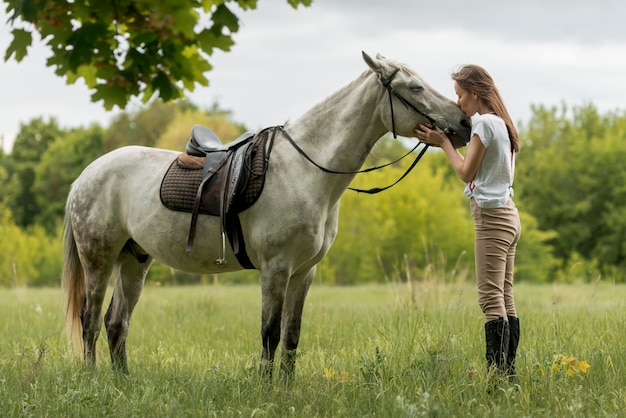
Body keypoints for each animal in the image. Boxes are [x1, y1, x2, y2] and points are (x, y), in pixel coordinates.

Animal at [63, 51, 468, 376]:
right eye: (415, 87)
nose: (464, 122)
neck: (305, 168)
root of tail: (85, 175)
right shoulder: (276, 267)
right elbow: (270, 333)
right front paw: (265, 388)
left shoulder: (304, 272)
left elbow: (291, 335)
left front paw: (286, 389)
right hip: (99, 259)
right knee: (90, 321)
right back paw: (93, 380)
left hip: (134, 259)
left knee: (116, 323)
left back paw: (123, 382)